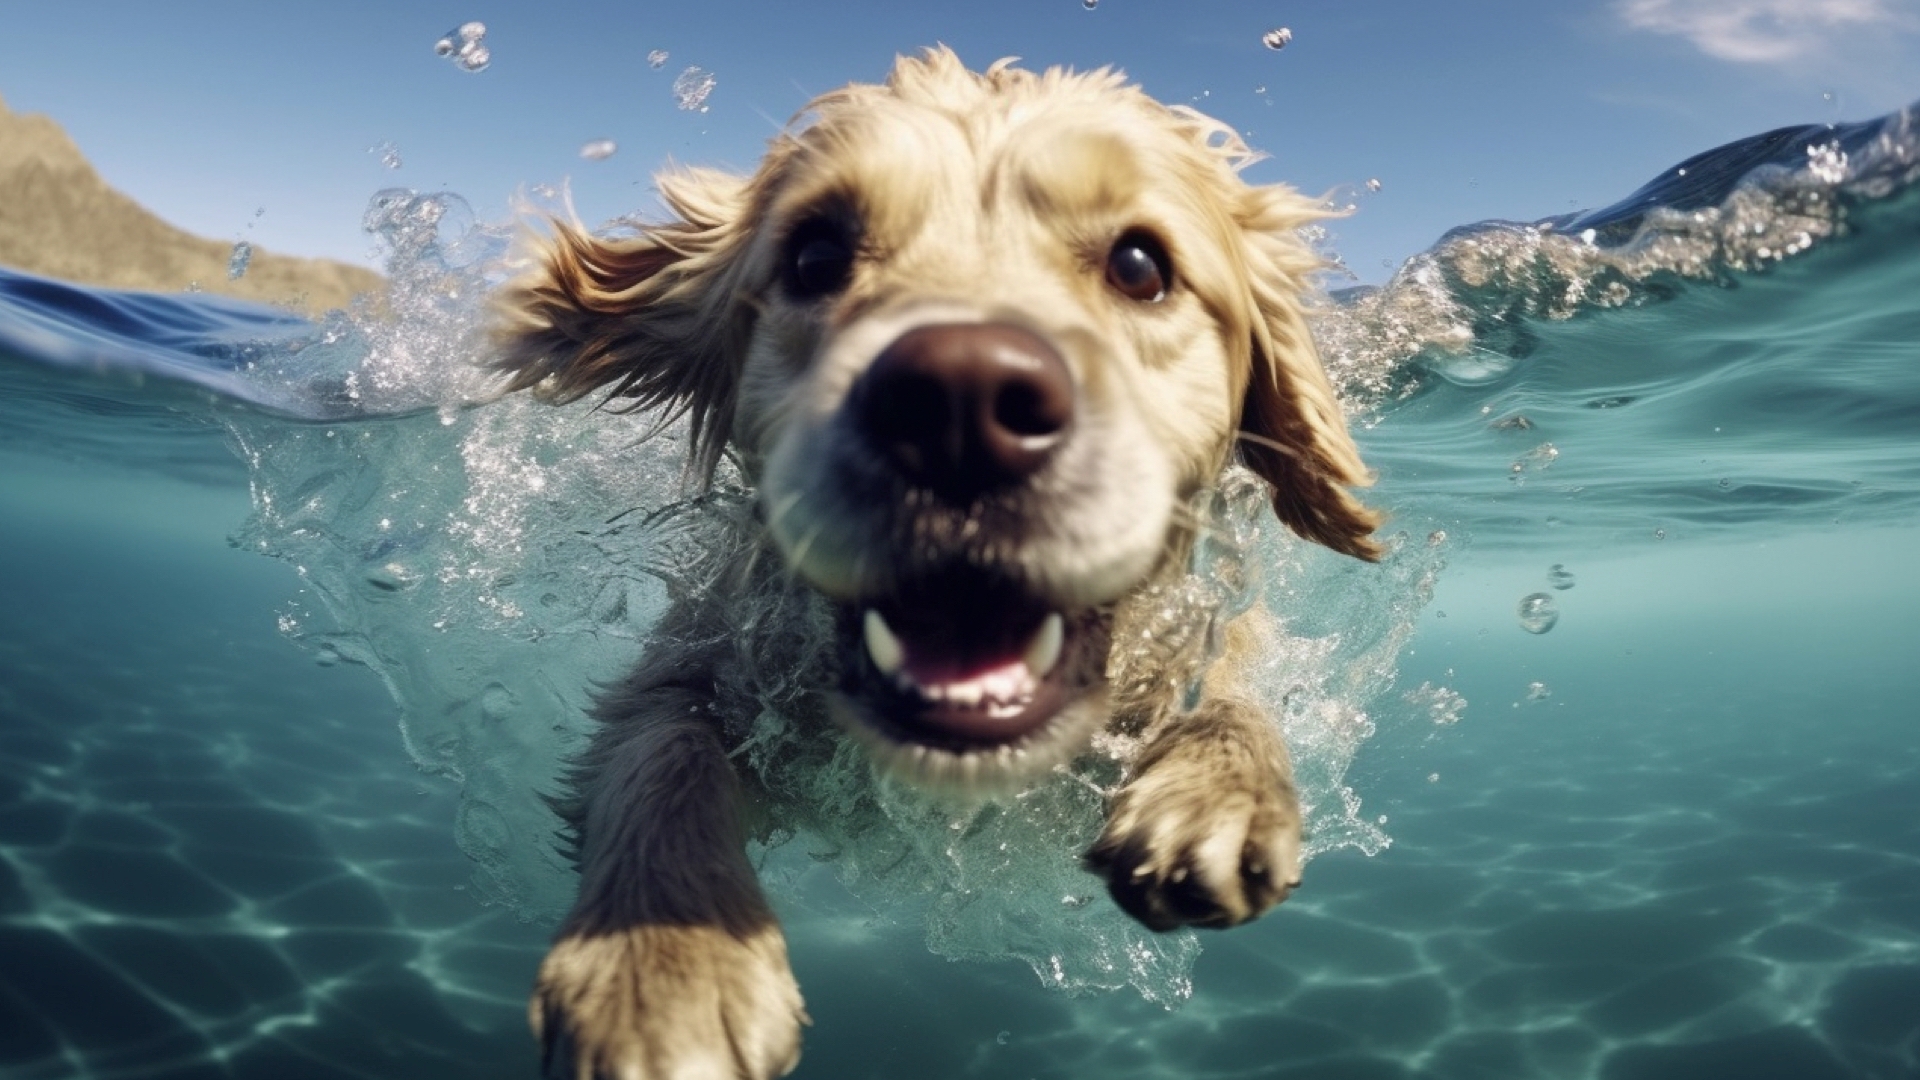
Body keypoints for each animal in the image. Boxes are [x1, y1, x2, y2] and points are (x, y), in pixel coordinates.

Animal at [491, 46, 1382, 1068]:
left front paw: (1218, 791)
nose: (960, 403)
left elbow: (1234, 688)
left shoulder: (1215, 627)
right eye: (815, 256)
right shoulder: (698, 660)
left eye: (1140, 265)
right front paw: (661, 968)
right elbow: (661, 751)